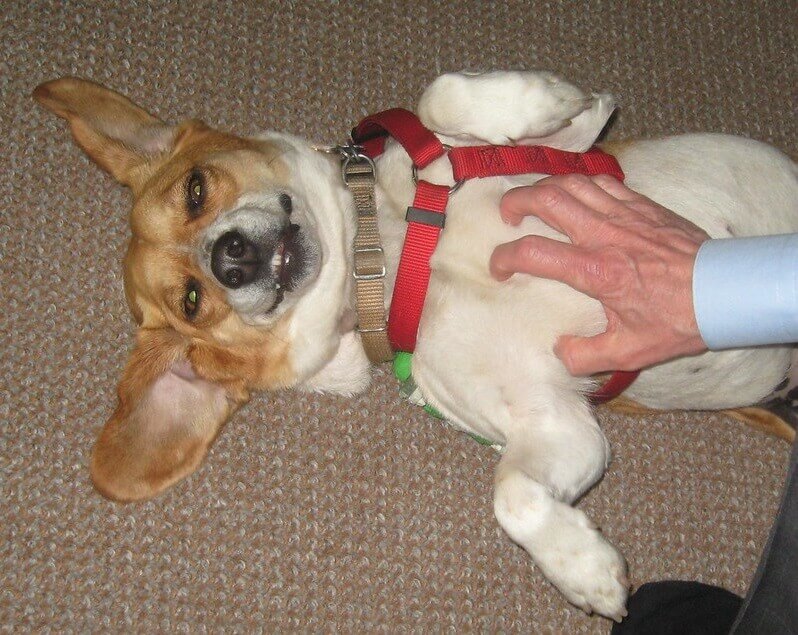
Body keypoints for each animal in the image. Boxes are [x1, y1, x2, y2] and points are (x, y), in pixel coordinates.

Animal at [33, 71, 798, 620]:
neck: (394, 259)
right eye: (192, 302)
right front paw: (583, 569)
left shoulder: (552, 149)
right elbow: (514, 498)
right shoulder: (556, 425)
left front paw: (549, 101)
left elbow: (444, 94)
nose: (231, 261)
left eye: (196, 190)